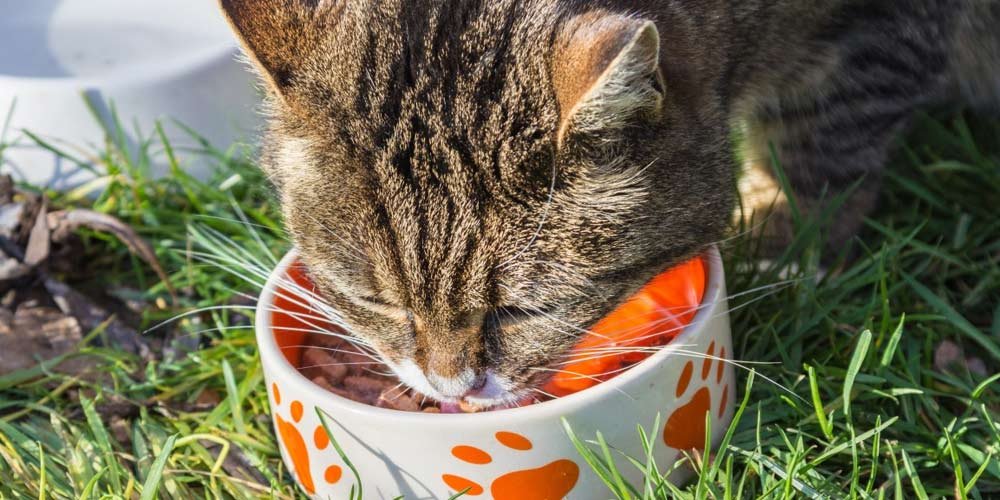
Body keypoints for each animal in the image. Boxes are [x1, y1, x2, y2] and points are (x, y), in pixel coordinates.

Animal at [221, 0, 1000, 406]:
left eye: (522, 311)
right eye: (374, 301)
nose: (453, 389)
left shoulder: (879, 30)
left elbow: (822, 141)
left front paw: (782, 244)